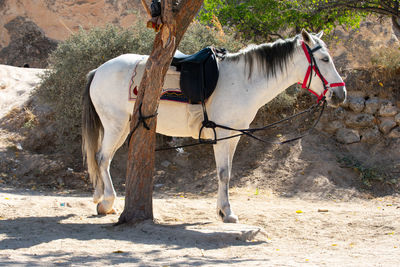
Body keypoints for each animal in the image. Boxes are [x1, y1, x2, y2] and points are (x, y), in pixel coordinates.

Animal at [83, 30, 346, 223]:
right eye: (324, 59)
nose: (340, 94)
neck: (243, 81)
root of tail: (98, 70)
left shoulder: (234, 136)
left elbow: (226, 173)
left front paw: (222, 211)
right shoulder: (222, 133)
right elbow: (223, 173)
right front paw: (227, 212)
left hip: (123, 127)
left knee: (103, 158)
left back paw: (101, 200)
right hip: (115, 124)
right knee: (102, 158)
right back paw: (107, 202)